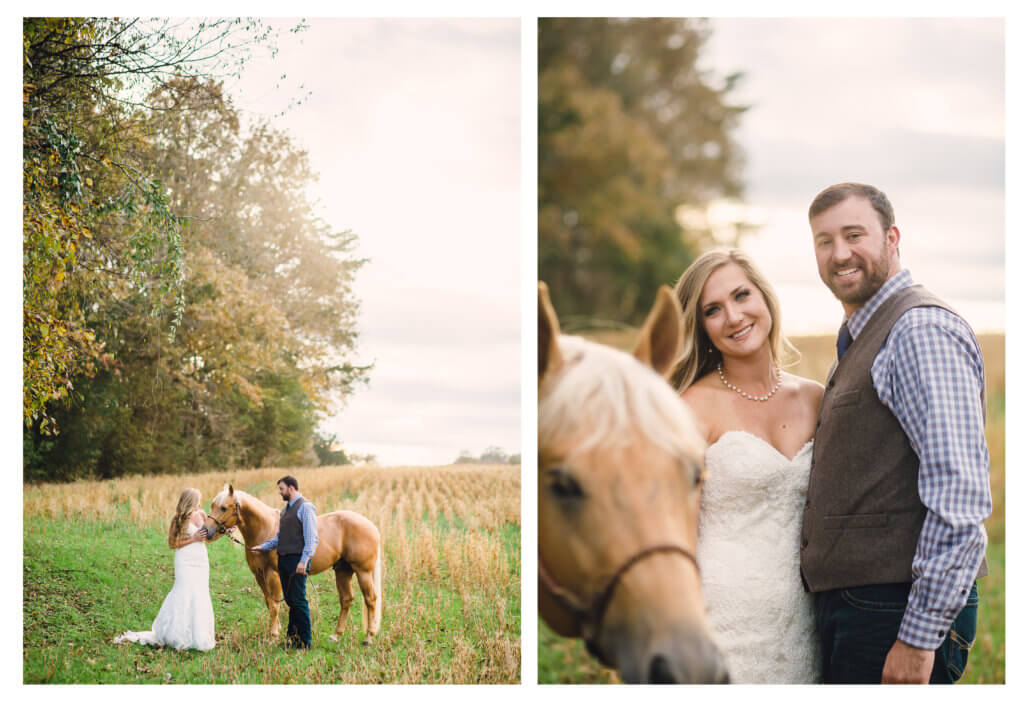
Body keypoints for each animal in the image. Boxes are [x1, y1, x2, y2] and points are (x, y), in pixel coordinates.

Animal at [203, 483, 385, 642]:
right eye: (212, 505)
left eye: (223, 508)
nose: (206, 531)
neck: (265, 529)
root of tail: (372, 526)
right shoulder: (259, 575)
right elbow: (269, 602)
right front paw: (277, 630)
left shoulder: (273, 575)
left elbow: (275, 605)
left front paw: (273, 636)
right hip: (343, 571)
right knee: (346, 600)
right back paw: (336, 635)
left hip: (363, 572)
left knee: (370, 599)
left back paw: (369, 637)